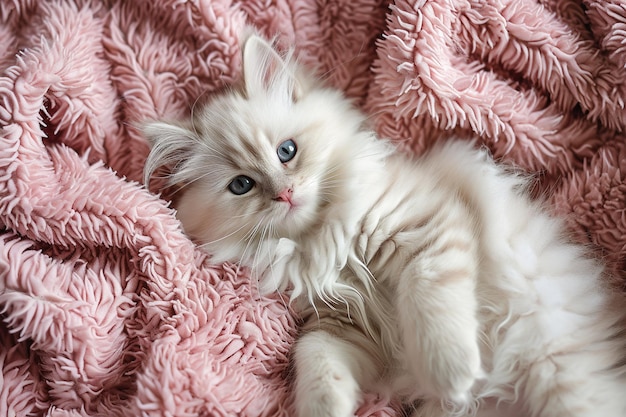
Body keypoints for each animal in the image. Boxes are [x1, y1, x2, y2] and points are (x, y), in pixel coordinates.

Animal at [143, 33, 624, 416]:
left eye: (287, 151)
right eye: (242, 185)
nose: (285, 194)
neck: (322, 241)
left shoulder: (429, 228)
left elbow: (431, 306)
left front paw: (453, 373)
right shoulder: (340, 323)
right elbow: (313, 357)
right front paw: (324, 407)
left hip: (560, 373)